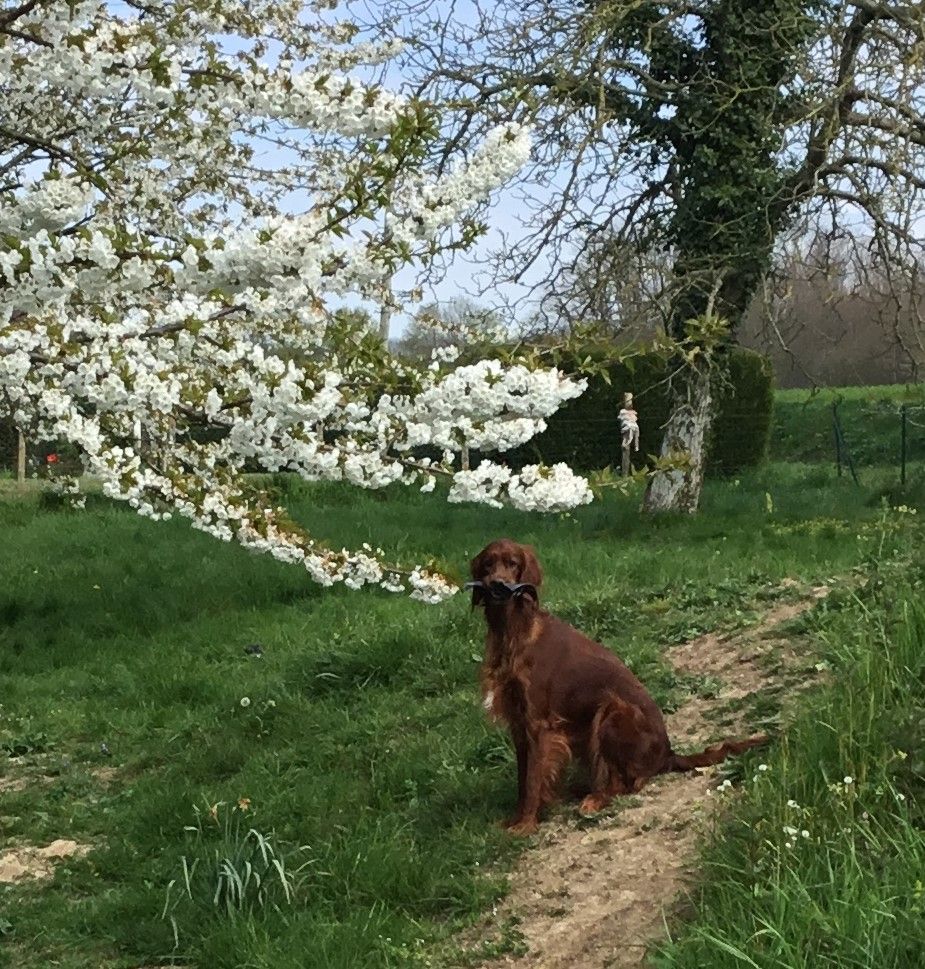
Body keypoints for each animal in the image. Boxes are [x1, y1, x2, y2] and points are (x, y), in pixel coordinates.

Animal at [470, 536, 764, 832]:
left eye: (513, 563)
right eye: (488, 564)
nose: (498, 584)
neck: (514, 630)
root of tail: (667, 754)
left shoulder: (537, 723)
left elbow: (532, 780)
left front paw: (526, 825)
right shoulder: (518, 720)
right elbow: (524, 778)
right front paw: (516, 819)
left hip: (612, 711)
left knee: (630, 782)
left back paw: (595, 798)